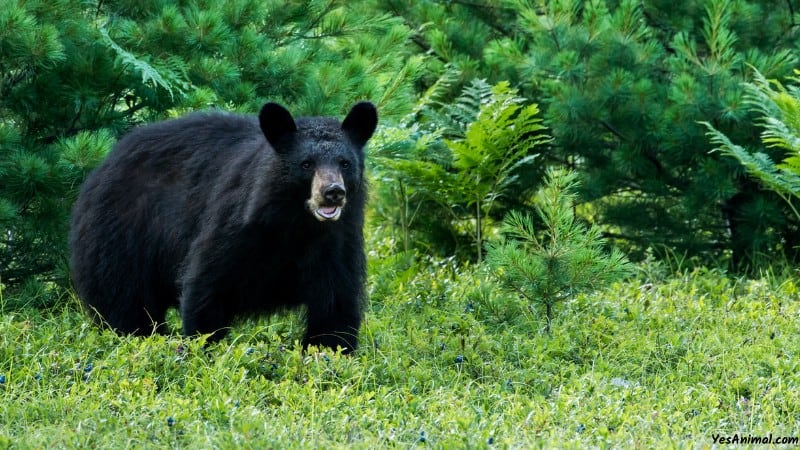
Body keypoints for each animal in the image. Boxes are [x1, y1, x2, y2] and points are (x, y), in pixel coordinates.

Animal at [69, 103, 378, 356]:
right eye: (306, 164)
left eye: (345, 163)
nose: (333, 192)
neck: (298, 225)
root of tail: (102, 165)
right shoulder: (238, 225)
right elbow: (208, 282)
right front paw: (201, 347)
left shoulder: (337, 241)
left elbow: (335, 303)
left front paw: (330, 352)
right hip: (123, 234)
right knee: (125, 299)